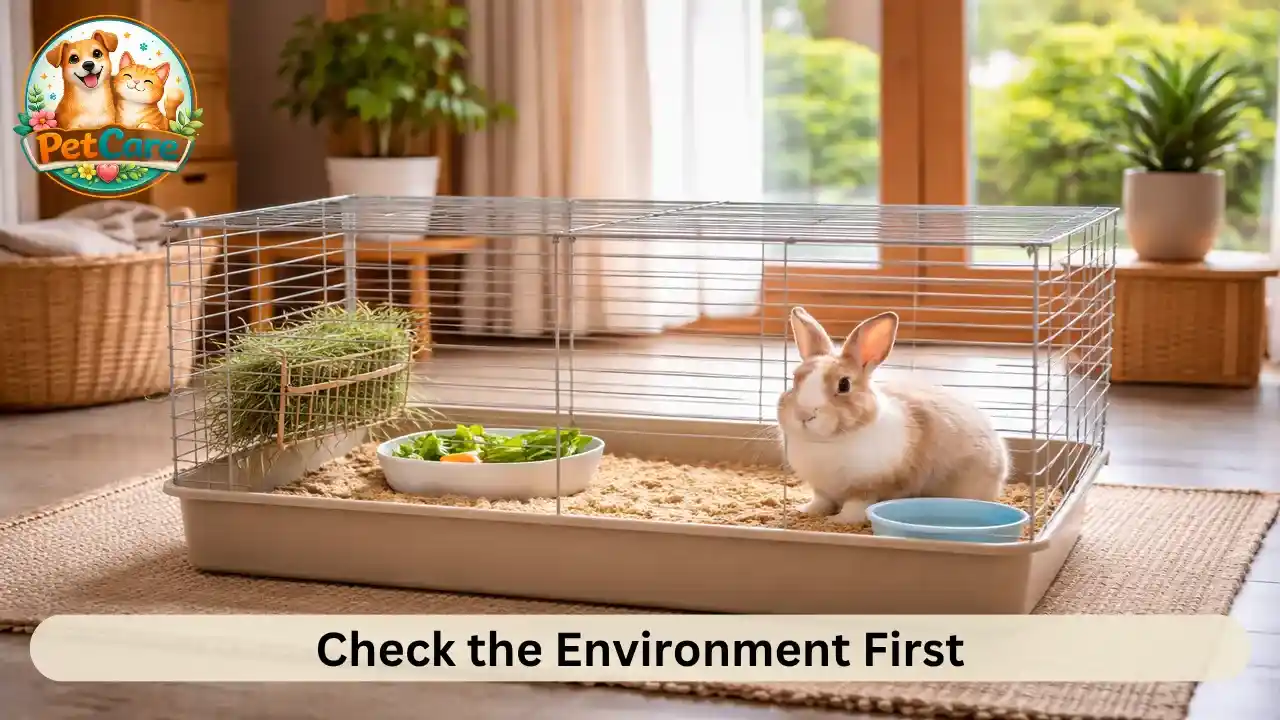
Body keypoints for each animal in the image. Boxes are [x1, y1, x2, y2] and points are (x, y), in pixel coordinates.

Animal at [776, 306, 1009, 525]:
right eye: (795, 378)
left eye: (844, 385)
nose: (804, 413)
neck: (825, 443)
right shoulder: (821, 489)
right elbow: (821, 501)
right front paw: (806, 511)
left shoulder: (869, 487)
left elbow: (856, 505)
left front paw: (839, 520)